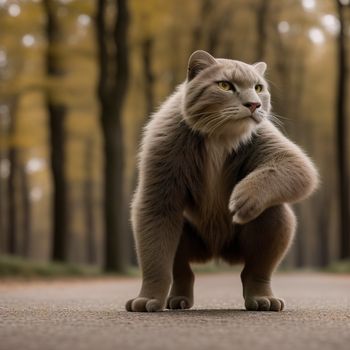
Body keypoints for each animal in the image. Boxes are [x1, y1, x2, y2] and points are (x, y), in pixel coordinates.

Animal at [126, 49, 320, 312]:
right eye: (225, 85)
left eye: (258, 87)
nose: (254, 104)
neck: (219, 136)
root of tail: (217, 252)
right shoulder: (162, 155)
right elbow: (155, 254)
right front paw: (147, 300)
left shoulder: (265, 138)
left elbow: (300, 167)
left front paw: (243, 197)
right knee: (182, 269)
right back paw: (178, 300)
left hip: (270, 224)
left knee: (256, 267)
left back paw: (263, 300)